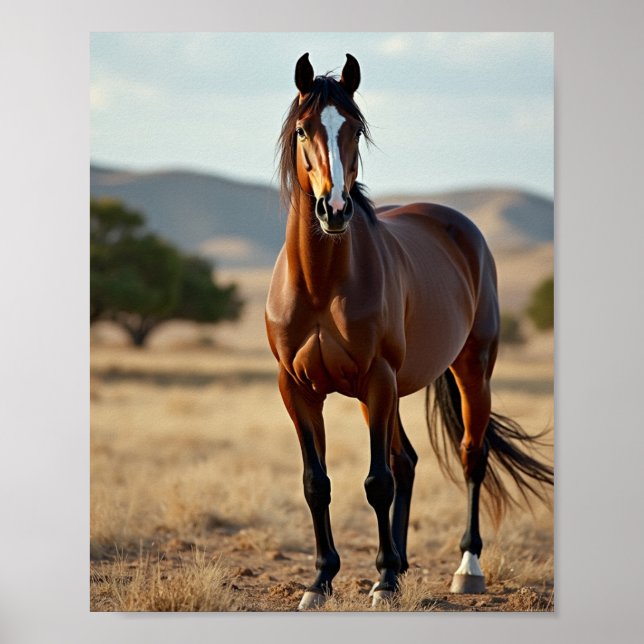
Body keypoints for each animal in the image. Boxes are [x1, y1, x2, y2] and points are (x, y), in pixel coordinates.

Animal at [265, 53, 553, 610]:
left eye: (354, 128)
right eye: (303, 129)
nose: (335, 209)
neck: (321, 283)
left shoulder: (377, 379)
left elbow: (376, 483)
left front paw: (378, 581)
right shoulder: (298, 388)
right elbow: (316, 483)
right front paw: (321, 581)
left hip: (469, 370)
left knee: (470, 455)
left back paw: (465, 568)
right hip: (387, 391)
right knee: (409, 461)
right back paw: (397, 568)